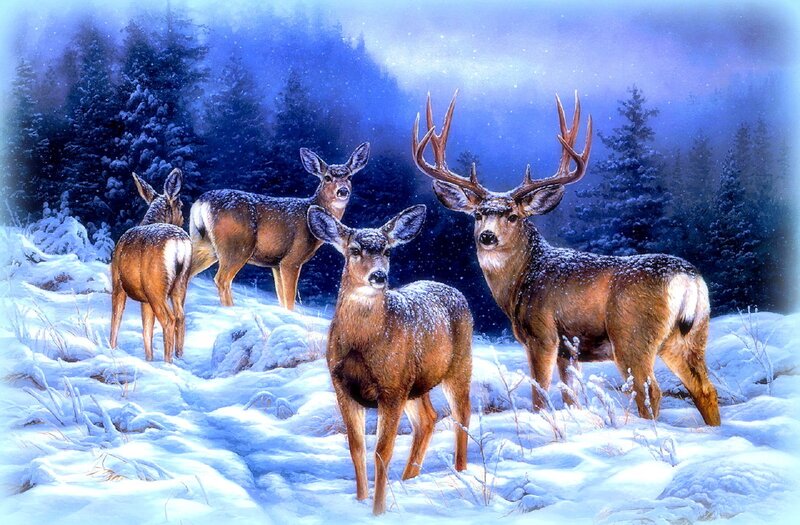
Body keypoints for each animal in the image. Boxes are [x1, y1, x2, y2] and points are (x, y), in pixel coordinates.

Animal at [110, 168, 191, 364]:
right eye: (182, 205)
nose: (183, 219)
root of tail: (179, 243)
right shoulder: (144, 299)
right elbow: (147, 330)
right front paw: (149, 360)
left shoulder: (118, 283)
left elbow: (116, 319)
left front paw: (111, 349)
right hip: (180, 284)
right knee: (180, 317)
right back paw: (179, 358)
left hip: (155, 287)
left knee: (169, 320)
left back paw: (169, 363)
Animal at [188, 143, 370, 310]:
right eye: (327, 177)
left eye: (350, 177)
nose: (343, 191)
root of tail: (201, 203)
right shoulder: (291, 260)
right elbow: (289, 300)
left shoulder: (276, 263)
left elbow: (281, 298)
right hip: (237, 246)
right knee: (222, 279)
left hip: (204, 245)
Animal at [306, 204, 473, 515]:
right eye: (354, 250)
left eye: (387, 251)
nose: (378, 276)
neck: (362, 347)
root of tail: (453, 289)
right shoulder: (342, 387)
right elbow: (356, 448)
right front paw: (360, 501)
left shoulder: (391, 388)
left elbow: (382, 452)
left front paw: (378, 511)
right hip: (415, 383)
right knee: (428, 419)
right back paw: (409, 480)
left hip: (458, 364)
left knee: (462, 414)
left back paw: (460, 473)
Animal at [412, 91, 720, 426]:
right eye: (479, 214)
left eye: (513, 216)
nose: (487, 237)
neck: (523, 280)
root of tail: (689, 278)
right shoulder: (569, 351)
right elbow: (570, 398)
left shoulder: (543, 334)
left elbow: (540, 397)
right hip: (690, 336)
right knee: (705, 389)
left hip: (633, 335)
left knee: (650, 390)